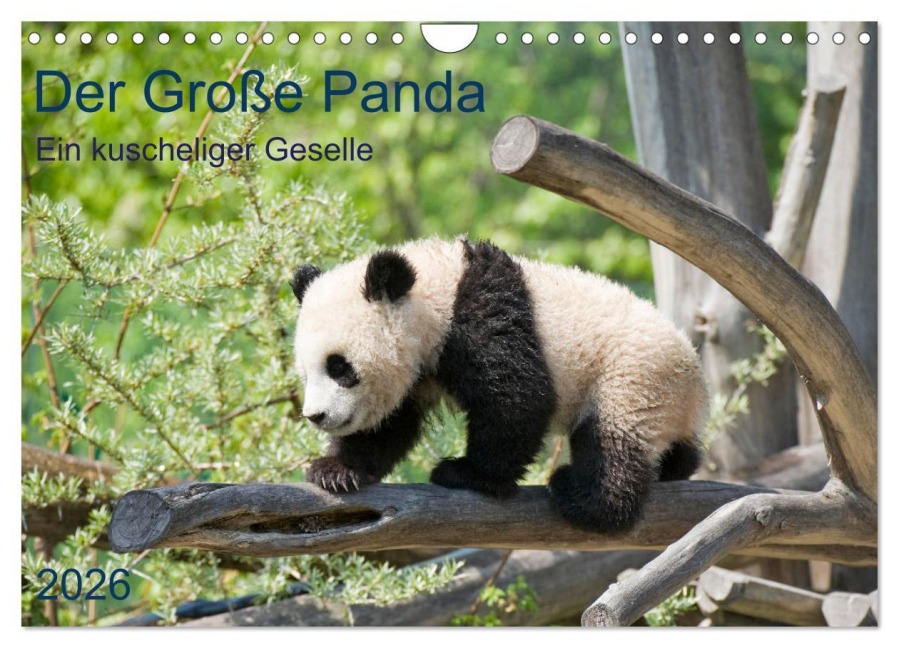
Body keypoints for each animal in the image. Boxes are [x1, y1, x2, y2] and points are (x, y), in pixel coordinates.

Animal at [290, 238, 707, 532]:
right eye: (307, 372)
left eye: (339, 367)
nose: (316, 416)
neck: (437, 290)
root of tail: (694, 378)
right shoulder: (420, 368)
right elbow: (390, 424)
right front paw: (337, 470)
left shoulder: (482, 317)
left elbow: (517, 398)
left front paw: (467, 474)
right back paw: (676, 465)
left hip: (632, 374)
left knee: (613, 440)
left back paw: (584, 497)